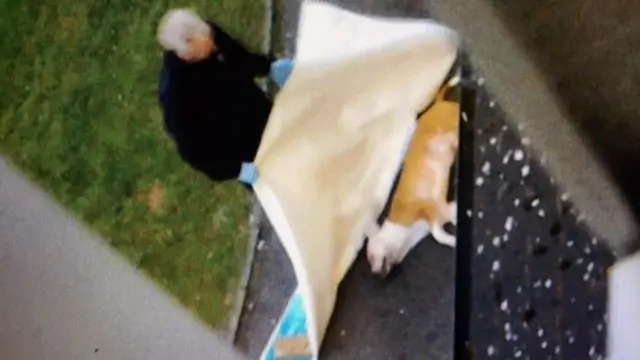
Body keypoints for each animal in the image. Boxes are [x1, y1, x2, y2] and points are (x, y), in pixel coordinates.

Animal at [364, 74, 460, 274]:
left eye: (371, 257)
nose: (376, 274)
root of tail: (438, 103)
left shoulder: (426, 209)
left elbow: (438, 235)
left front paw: (453, 240)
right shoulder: (444, 210)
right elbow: (448, 221)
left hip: (451, 120)